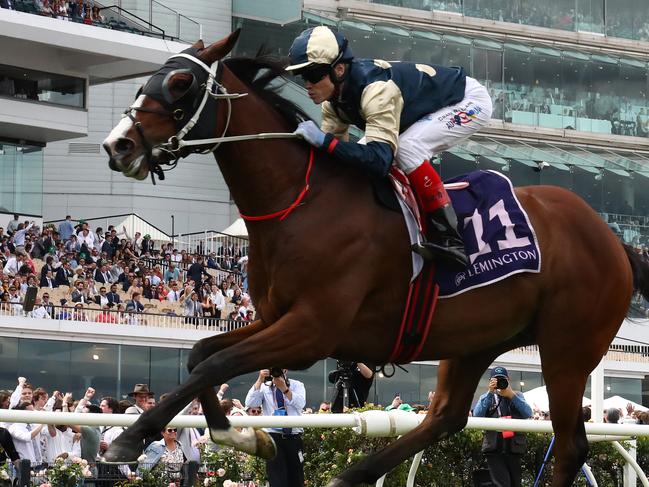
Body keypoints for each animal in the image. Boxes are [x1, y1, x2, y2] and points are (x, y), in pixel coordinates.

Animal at [101, 32, 648, 486]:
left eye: (180, 83)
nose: (116, 145)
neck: (303, 201)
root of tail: (615, 241)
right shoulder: (278, 318)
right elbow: (201, 356)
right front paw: (245, 436)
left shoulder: (312, 330)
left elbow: (218, 362)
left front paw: (130, 437)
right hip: (477, 338)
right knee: (446, 416)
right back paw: (350, 475)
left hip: (567, 347)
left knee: (571, 445)